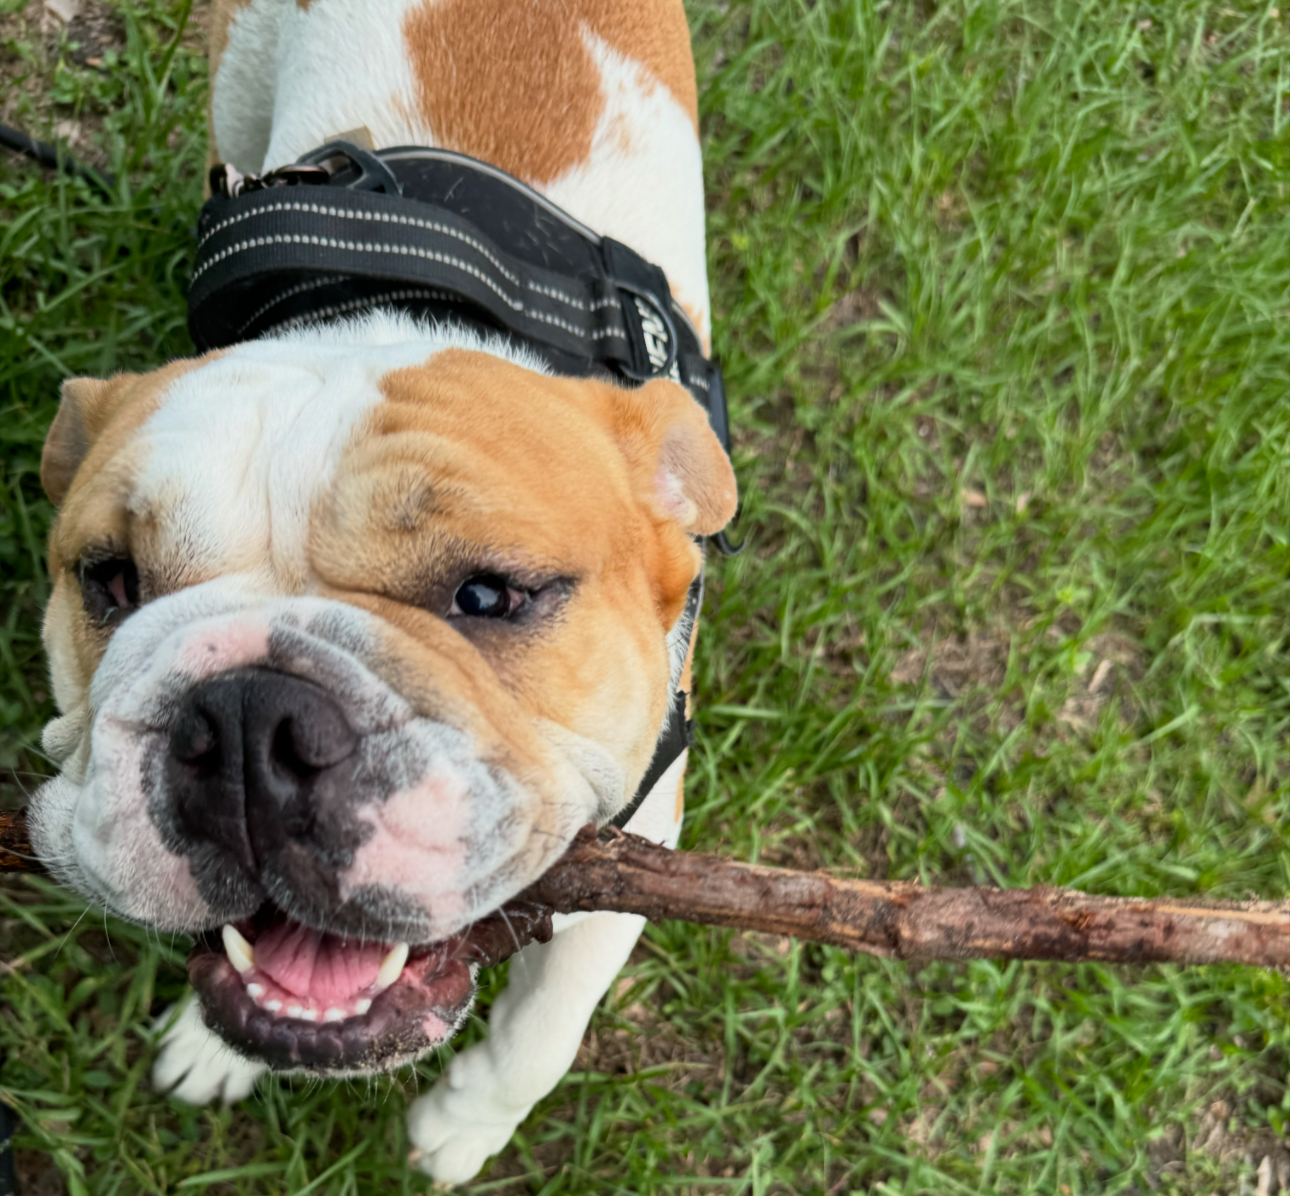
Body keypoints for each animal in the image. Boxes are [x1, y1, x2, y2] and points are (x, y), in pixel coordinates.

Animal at [28, 0, 734, 1183]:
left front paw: (464, 1126)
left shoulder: (632, 858)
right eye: (110, 579)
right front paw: (214, 1049)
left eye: (491, 596)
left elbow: (542, 1030)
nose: (246, 716)